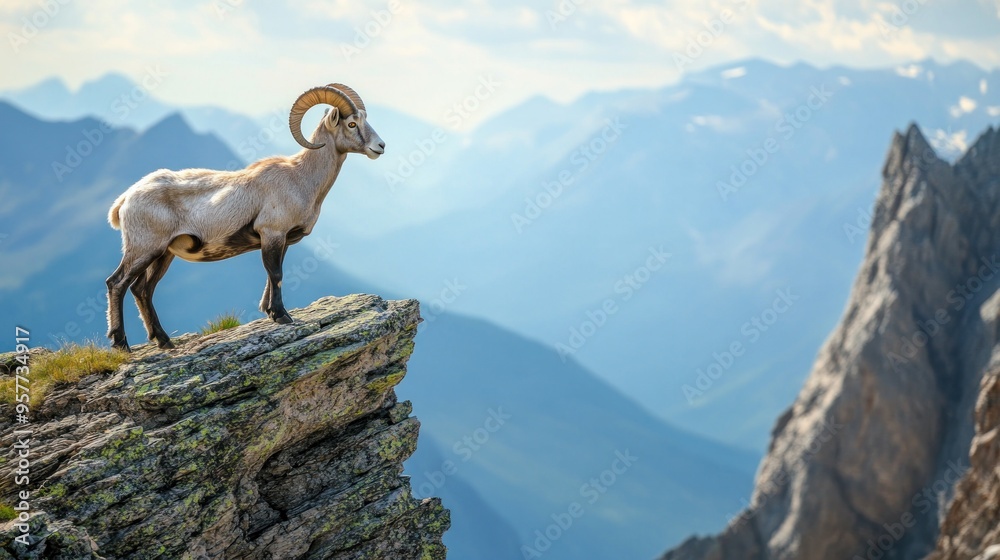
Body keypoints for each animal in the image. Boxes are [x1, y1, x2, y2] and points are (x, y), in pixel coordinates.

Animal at [105, 83, 384, 351]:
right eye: (351, 123)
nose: (380, 146)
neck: (301, 178)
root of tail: (125, 200)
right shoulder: (272, 233)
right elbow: (276, 274)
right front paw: (282, 316)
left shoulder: (281, 240)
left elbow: (273, 276)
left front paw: (270, 312)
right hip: (144, 248)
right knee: (117, 283)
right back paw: (121, 344)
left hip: (163, 254)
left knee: (142, 289)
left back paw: (163, 340)